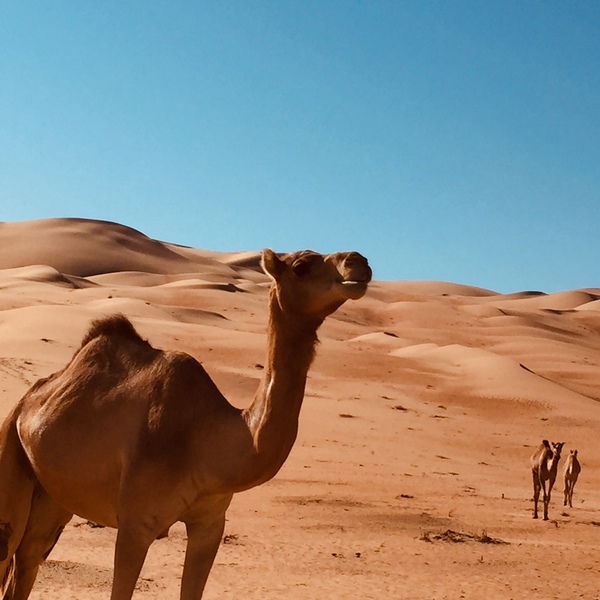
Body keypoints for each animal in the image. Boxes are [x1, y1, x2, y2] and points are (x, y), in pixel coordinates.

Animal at [0, 248, 370, 600]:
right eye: (301, 267)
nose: (359, 262)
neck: (209, 442)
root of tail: (23, 406)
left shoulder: (210, 524)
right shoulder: (135, 525)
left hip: (53, 499)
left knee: (28, 559)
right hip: (10, 458)